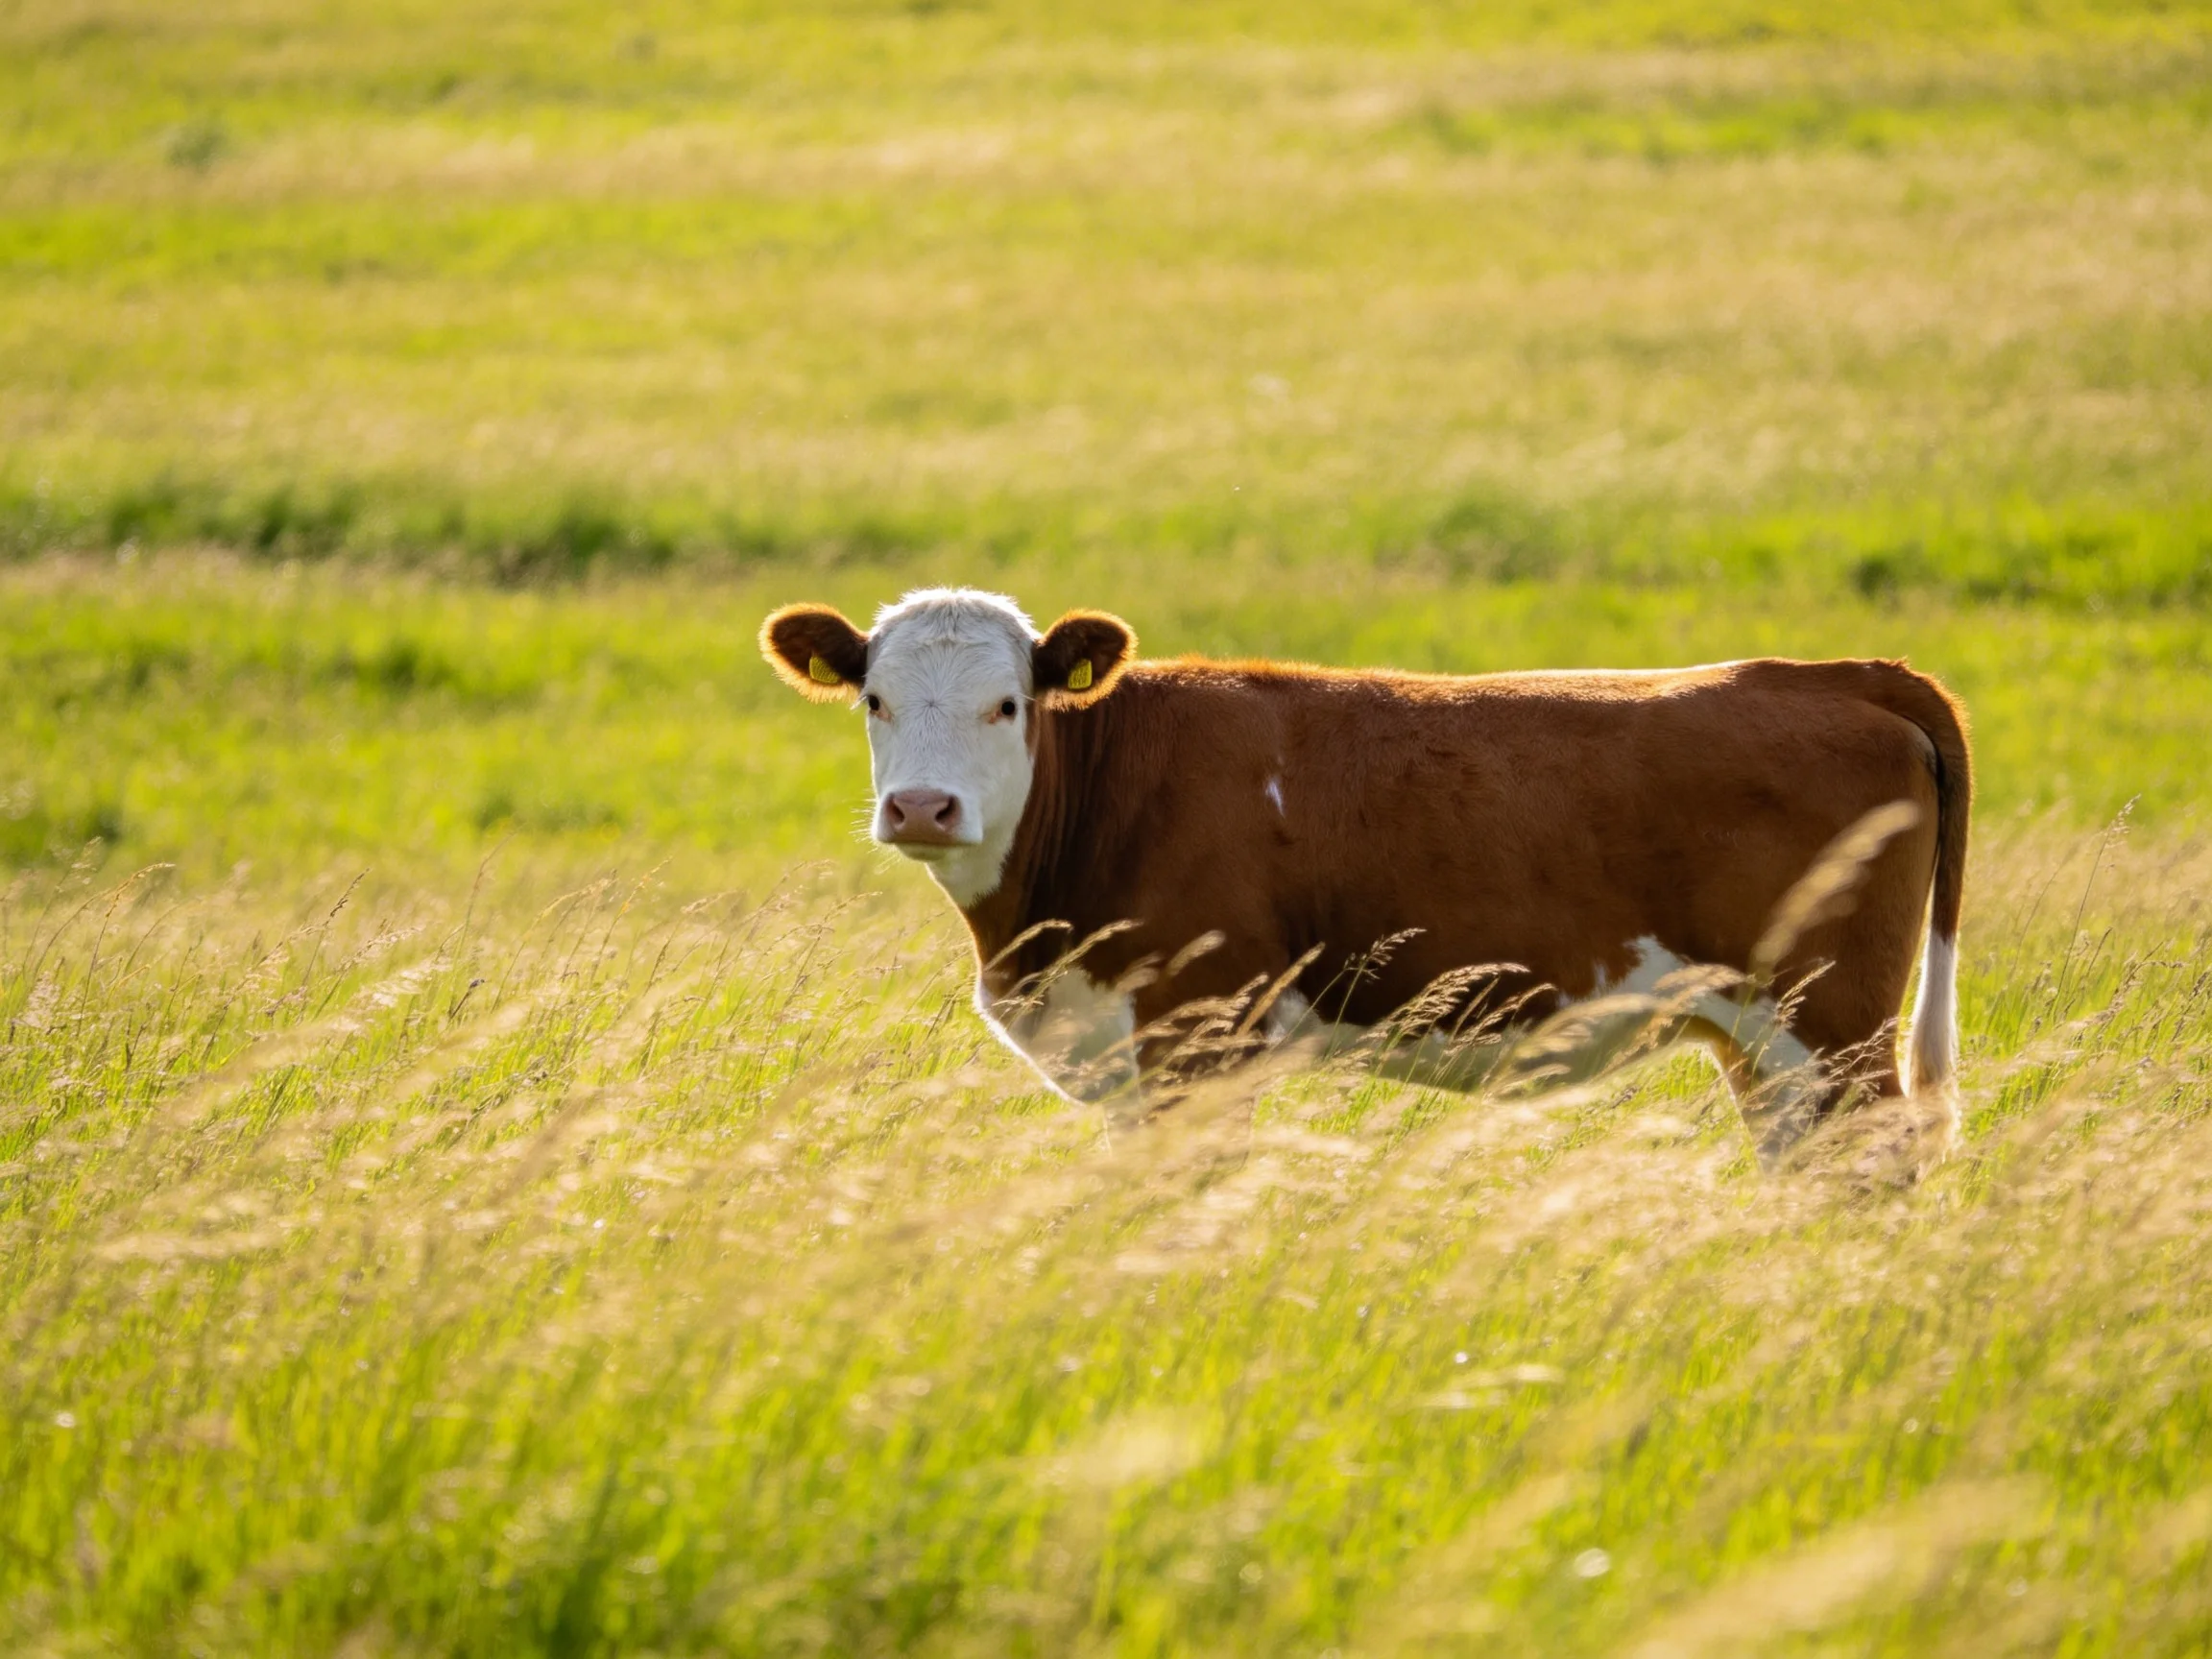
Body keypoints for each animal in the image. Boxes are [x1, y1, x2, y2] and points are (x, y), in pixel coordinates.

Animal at [761, 587, 1971, 1168]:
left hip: (1832, 1019)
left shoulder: (1201, 1040)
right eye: (874, 699)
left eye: (1008, 704)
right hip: (1763, 1037)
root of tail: (1835, 673)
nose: (923, 808)